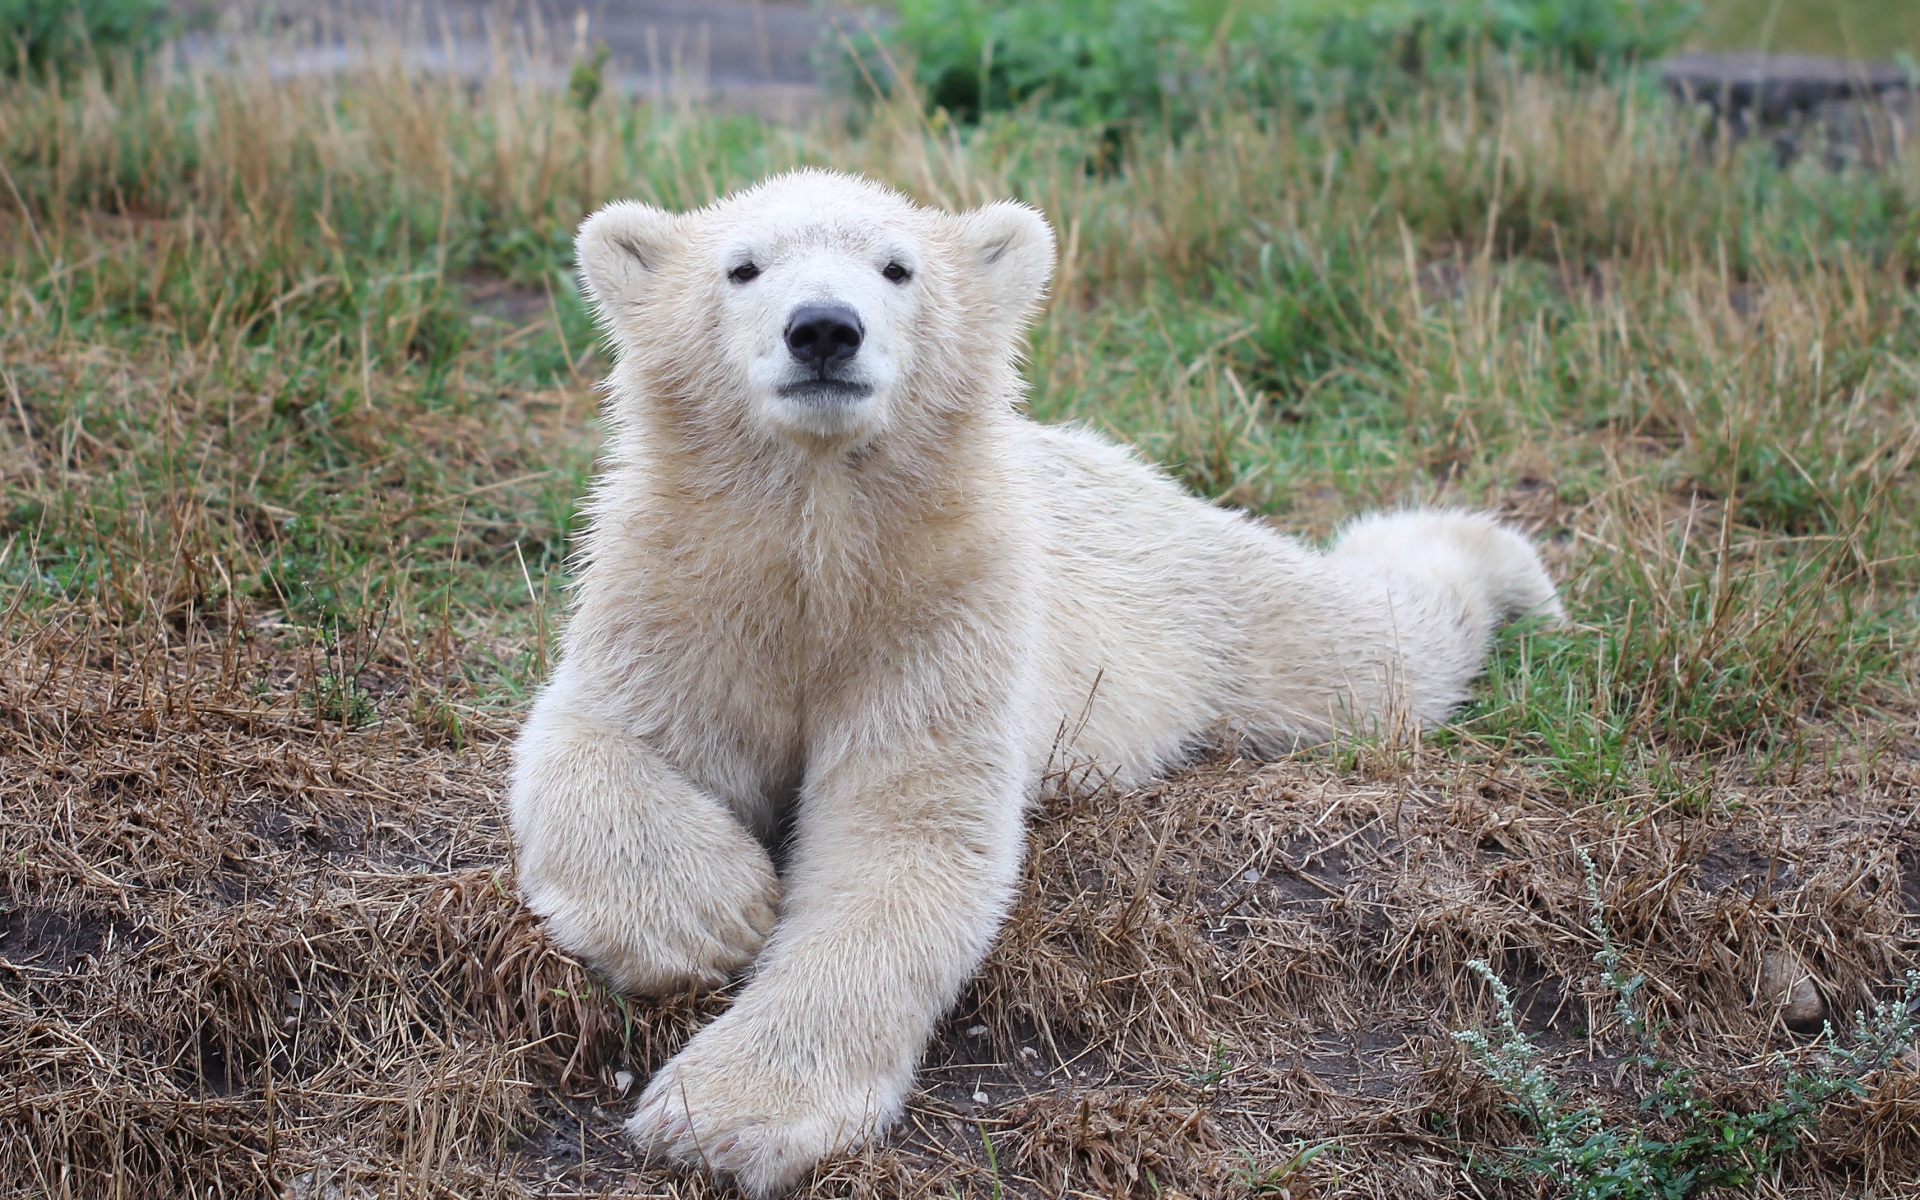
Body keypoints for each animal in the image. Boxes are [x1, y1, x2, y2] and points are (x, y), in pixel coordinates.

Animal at [508, 168, 1563, 1197]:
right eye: (742, 266)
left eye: (897, 267)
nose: (824, 329)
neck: (821, 542)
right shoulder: (680, 592)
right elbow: (592, 734)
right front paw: (707, 914)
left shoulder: (949, 616)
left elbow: (908, 836)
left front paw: (727, 1114)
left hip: (1202, 602)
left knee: (1377, 654)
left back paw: (1502, 561)